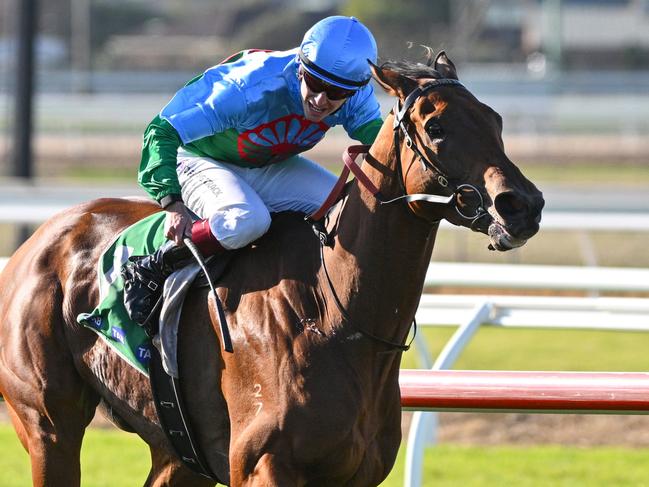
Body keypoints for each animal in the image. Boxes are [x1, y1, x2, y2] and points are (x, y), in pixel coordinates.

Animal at [0, 51, 540, 486]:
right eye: (437, 128)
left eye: (495, 121)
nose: (522, 205)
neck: (333, 313)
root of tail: (37, 242)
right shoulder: (263, 465)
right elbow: (169, 125)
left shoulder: (357, 473)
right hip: (48, 425)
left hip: (177, 452)